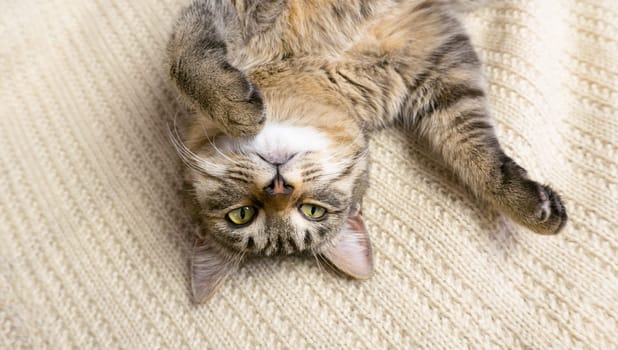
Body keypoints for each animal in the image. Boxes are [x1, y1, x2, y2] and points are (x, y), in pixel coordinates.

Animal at [166, 0, 564, 302]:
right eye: (242, 215)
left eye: (312, 210)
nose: (278, 187)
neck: (306, 65)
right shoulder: (440, 66)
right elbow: (470, 150)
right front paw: (526, 202)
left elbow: (184, 57)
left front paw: (230, 105)